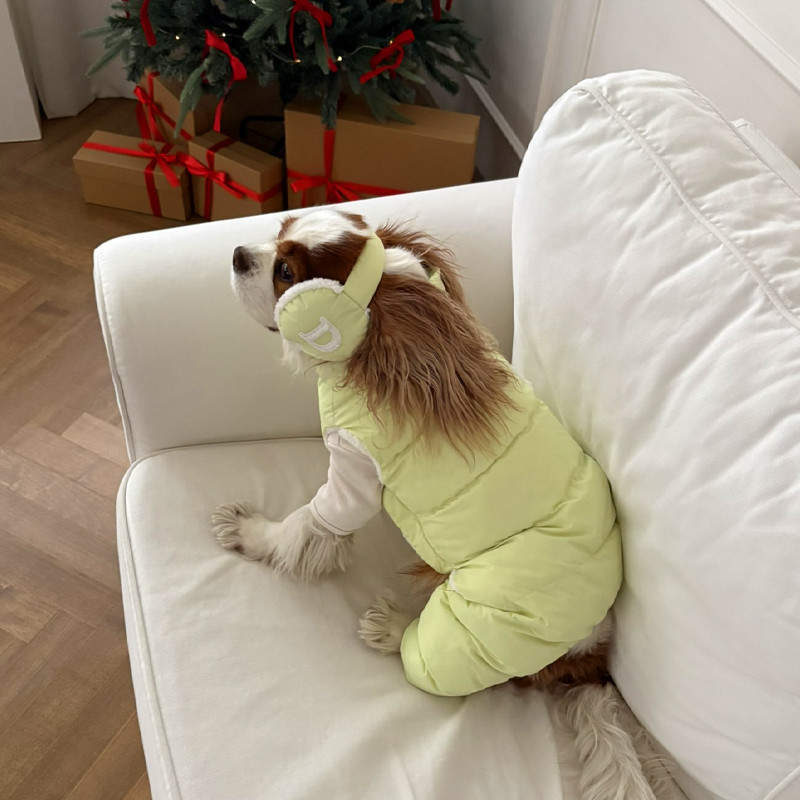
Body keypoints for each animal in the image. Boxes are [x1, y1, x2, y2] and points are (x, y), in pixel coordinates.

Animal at [212, 209, 670, 800]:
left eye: (285, 271)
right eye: (281, 228)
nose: (238, 254)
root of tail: (591, 661)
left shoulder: (353, 474)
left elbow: (304, 528)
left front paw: (250, 533)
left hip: (478, 620)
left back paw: (392, 631)